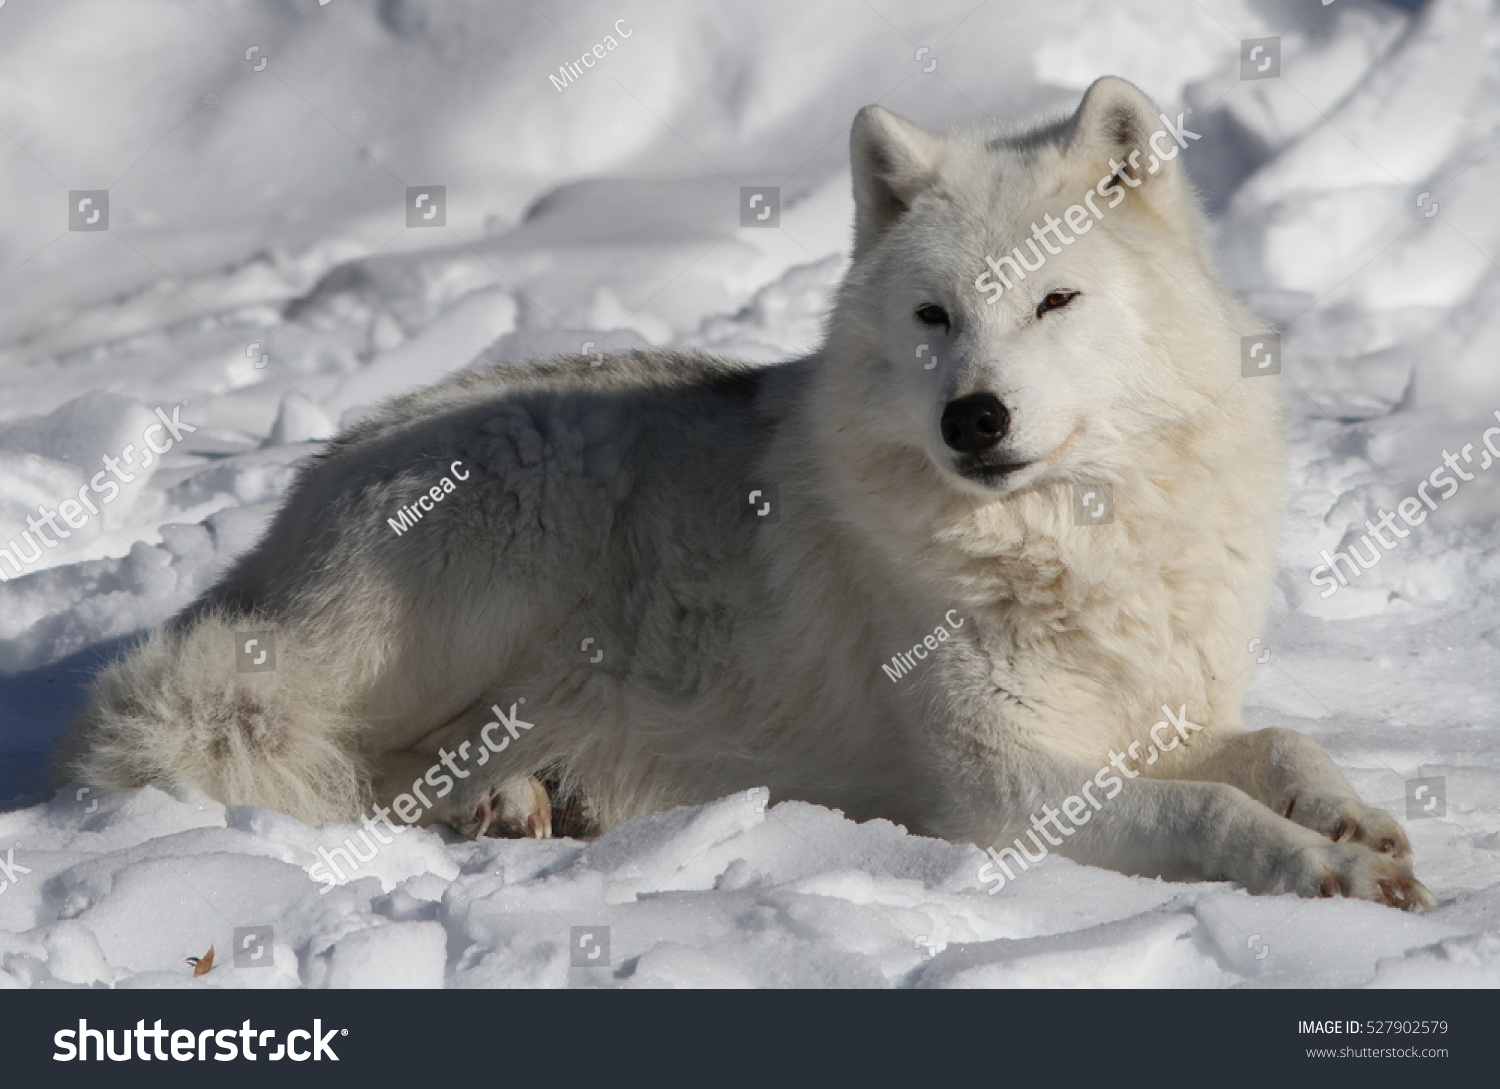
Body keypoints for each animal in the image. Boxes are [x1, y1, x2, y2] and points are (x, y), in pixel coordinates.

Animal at [58, 78, 1434, 912]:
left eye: (1056, 300)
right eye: (934, 317)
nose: (973, 419)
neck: (1074, 546)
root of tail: (301, 494)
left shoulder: (1155, 721)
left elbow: (1279, 744)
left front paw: (1354, 820)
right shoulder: (1003, 793)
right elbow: (1207, 808)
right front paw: (1321, 871)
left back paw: (530, 798)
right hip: (491, 547)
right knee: (301, 750)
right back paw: (505, 799)